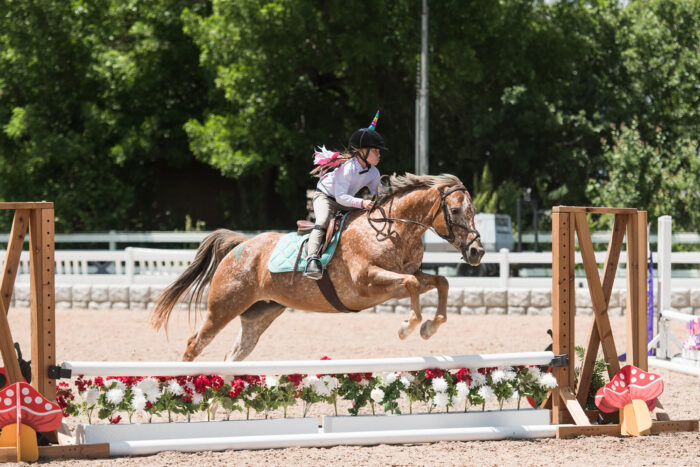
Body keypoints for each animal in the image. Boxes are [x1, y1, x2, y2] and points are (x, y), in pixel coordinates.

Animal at [150, 173, 485, 362]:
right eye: (456, 210)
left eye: (473, 210)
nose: (477, 251)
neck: (392, 229)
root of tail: (240, 246)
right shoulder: (367, 283)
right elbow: (414, 285)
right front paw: (408, 328)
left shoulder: (406, 275)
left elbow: (439, 282)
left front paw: (429, 327)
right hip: (224, 307)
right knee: (194, 344)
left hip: (259, 314)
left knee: (234, 355)